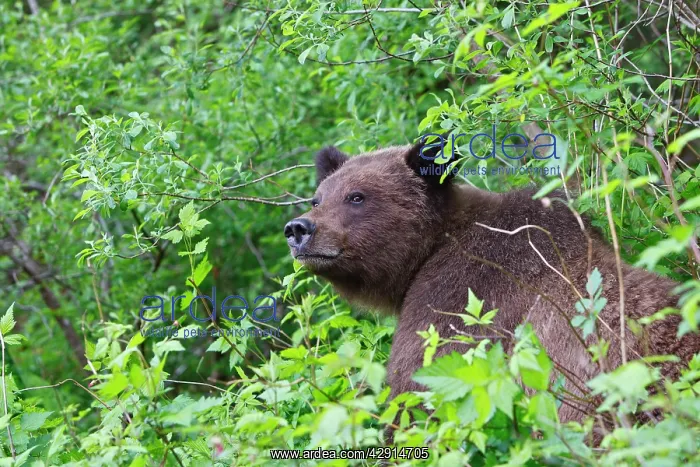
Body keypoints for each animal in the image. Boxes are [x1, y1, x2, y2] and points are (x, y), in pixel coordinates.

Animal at [283, 139, 700, 437]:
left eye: (357, 196)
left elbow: (418, 391)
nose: (298, 229)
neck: (429, 250)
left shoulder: (460, 302)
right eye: (318, 197)